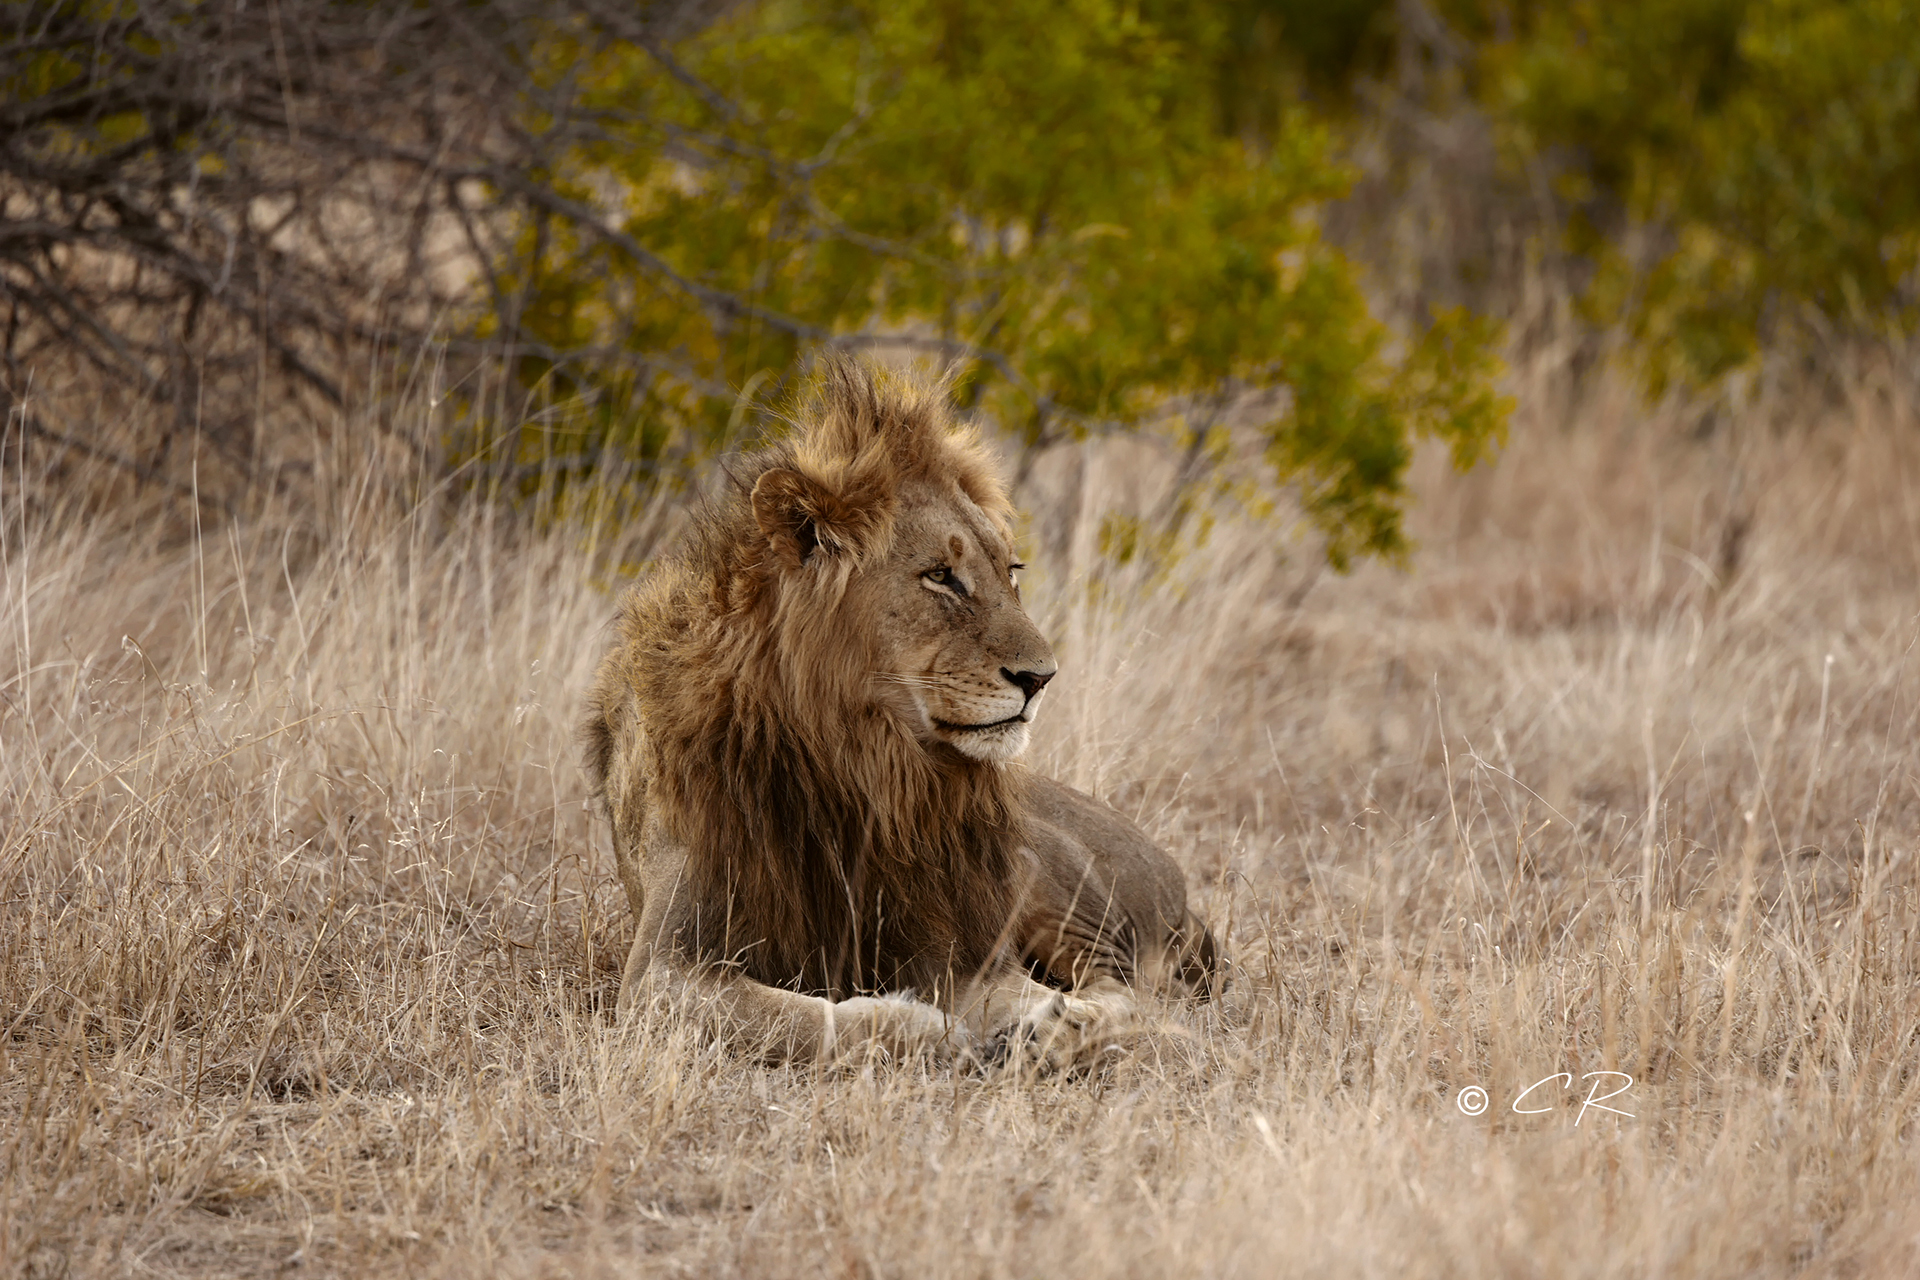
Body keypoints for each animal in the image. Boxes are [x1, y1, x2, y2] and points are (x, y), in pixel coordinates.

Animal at [576, 360, 1221, 1074]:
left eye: (1011, 571)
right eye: (940, 576)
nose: (1041, 678)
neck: (861, 761)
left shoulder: (966, 957)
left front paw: (1041, 1028)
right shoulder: (662, 971)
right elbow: (812, 1020)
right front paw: (933, 1030)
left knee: (1130, 992)